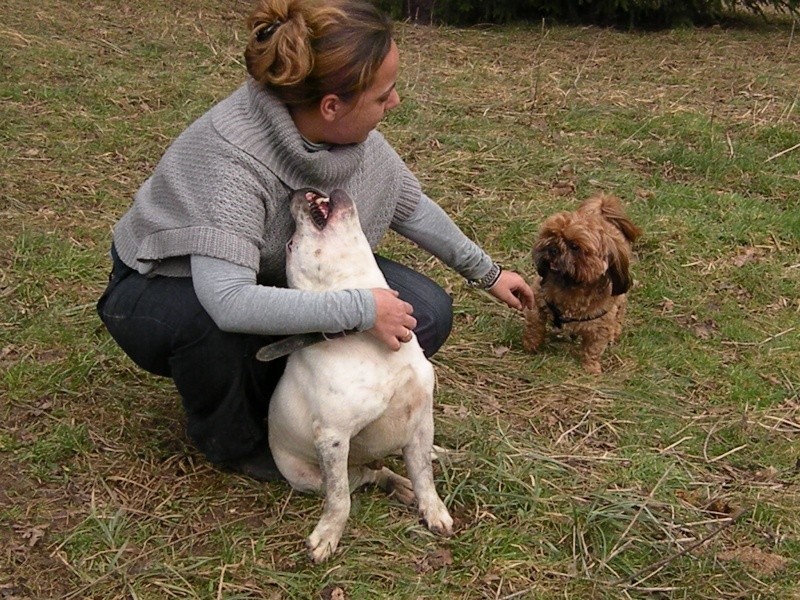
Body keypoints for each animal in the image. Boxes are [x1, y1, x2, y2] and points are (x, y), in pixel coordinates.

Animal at [268, 188, 454, 564]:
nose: (296, 192)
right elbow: (340, 499)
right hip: (306, 476)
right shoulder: (333, 437)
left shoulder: (420, 418)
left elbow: (425, 478)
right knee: (366, 476)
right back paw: (397, 485)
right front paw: (327, 537)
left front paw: (434, 510)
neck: (373, 344)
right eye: (291, 244)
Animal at [520, 195, 644, 372]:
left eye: (574, 246)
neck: (572, 287)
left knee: (619, 314)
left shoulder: (600, 327)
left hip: (620, 301)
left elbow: (593, 348)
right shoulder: (537, 302)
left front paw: (591, 368)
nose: (553, 248)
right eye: (550, 234)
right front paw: (530, 346)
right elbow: (534, 327)